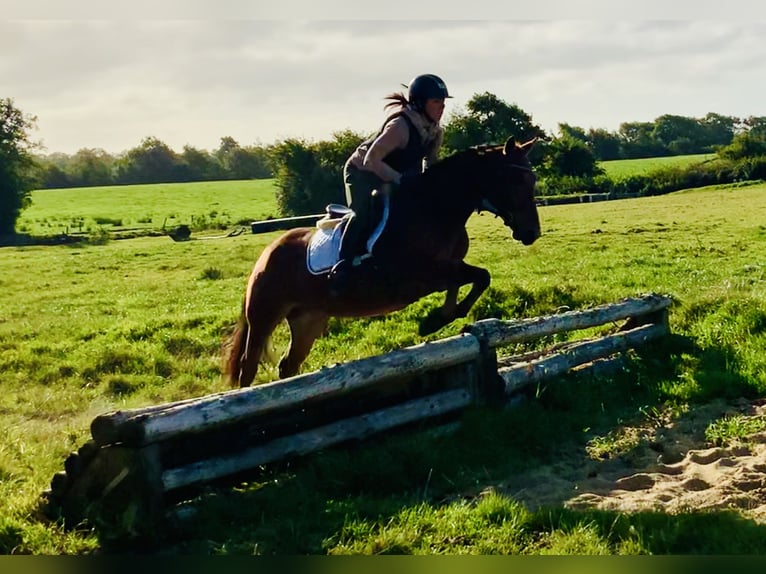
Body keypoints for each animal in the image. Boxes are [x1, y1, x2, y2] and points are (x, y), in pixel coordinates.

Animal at [225, 137, 544, 390]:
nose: (532, 233)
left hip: (308, 319)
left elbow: (473, 279)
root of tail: (267, 253)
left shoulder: (446, 267)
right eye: (515, 181)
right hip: (265, 315)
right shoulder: (420, 274)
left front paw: (437, 319)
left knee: (288, 365)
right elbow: (478, 276)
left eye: (532, 181)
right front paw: (433, 321)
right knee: (249, 365)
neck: (436, 207)